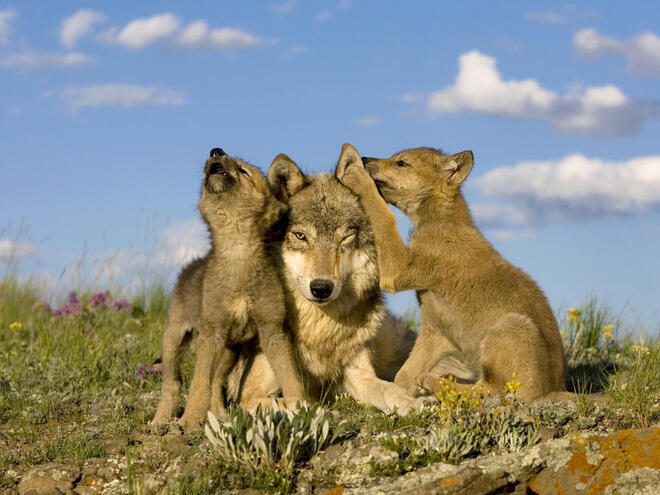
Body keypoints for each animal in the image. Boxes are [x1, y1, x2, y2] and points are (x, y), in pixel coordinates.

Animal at [151, 148, 302, 430]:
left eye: (243, 170)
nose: (216, 150)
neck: (237, 250)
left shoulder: (273, 331)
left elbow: (290, 377)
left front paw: (301, 405)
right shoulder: (211, 334)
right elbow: (197, 384)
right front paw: (189, 420)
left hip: (229, 351)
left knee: (215, 382)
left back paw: (219, 415)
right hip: (175, 338)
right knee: (173, 383)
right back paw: (161, 420)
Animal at [227, 151, 422, 414]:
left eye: (345, 237)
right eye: (301, 236)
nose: (321, 288)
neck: (320, 329)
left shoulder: (360, 375)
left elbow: (391, 389)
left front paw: (415, 404)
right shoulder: (248, 396)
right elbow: (298, 401)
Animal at [338, 143, 564, 404]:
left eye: (401, 163)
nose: (364, 159)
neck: (439, 221)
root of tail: (551, 390)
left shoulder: (398, 270)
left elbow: (384, 216)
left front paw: (356, 176)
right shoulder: (436, 331)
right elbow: (403, 376)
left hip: (512, 326)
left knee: (490, 390)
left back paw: (436, 381)